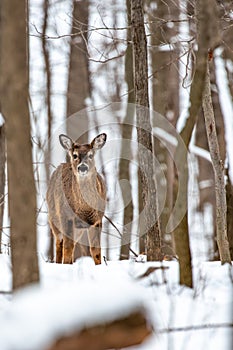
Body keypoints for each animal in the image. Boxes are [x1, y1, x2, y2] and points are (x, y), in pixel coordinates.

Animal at [46, 134, 107, 266]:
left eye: (91, 155)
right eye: (75, 155)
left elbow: (96, 250)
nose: (82, 167)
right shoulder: (66, 217)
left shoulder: (97, 220)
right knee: (59, 244)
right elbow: (67, 249)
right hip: (53, 218)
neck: (85, 210)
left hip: (77, 229)